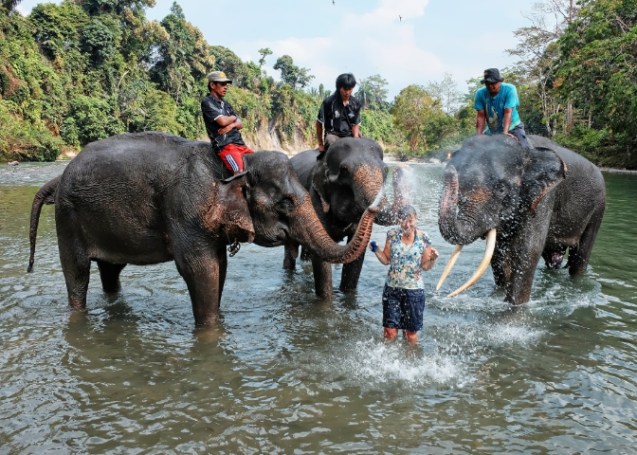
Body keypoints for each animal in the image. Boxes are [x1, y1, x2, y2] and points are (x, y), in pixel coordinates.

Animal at [27, 132, 379, 326]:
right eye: (286, 202)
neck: (237, 165)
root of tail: (58, 177)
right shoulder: (186, 211)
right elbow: (201, 269)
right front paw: (210, 333)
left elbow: (219, 267)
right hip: (68, 218)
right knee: (77, 273)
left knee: (111, 270)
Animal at [283, 137, 401, 298]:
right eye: (345, 170)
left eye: (386, 170)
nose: (398, 171)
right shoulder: (315, 197)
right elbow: (322, 256)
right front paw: (326, 301)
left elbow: (357, 254)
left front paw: (348, 295)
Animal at [436, 134, 606, 304]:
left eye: (501, 189)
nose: (449, 170)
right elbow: (498, 254)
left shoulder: (543, 198)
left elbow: (528, 250)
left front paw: (515, 307)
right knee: (553, 260)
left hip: (599, 206)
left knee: (580, 257)